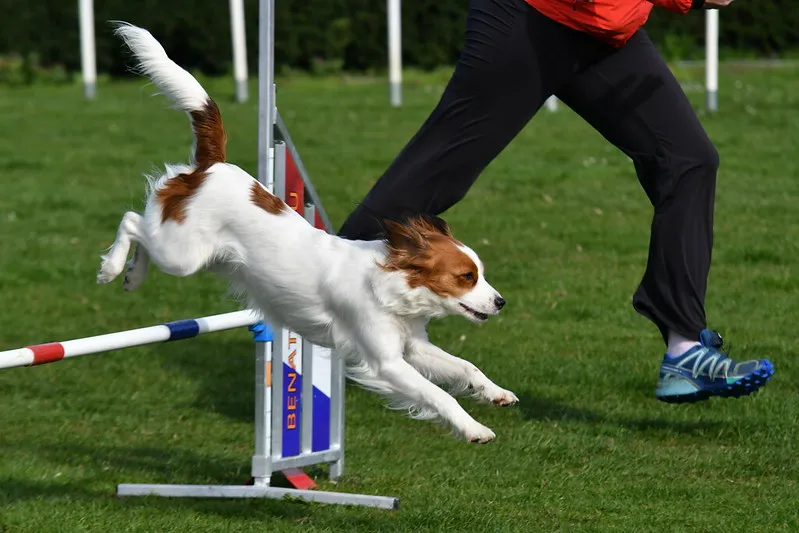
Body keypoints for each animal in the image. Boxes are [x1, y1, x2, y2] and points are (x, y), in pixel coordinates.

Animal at [98, 21, 520, 440]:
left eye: (480, 274)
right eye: (466, 277)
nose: (501, 302)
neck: (392, 285)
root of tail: (212, 166)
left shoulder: (412, 347)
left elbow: (466, 366)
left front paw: (496, 393)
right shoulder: (385, 362)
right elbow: (439, 395)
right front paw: (473, 428)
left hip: (195, 254)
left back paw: (132, 276)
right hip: (182, 254)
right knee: (132, 221)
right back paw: (115, 269)